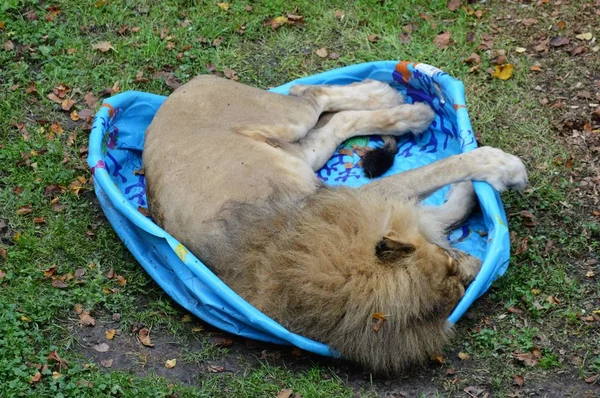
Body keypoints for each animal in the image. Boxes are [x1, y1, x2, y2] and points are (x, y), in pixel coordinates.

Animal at [143, 76, 528, 374]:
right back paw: (403, 106)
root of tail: (179, 91)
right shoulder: (369, 198)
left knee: (318, 101)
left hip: (295, 138)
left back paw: (397, 102)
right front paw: (496, 167)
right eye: (451, 265)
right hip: (296, 141)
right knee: (320, 105)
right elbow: (436, 172)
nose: (476, 269)